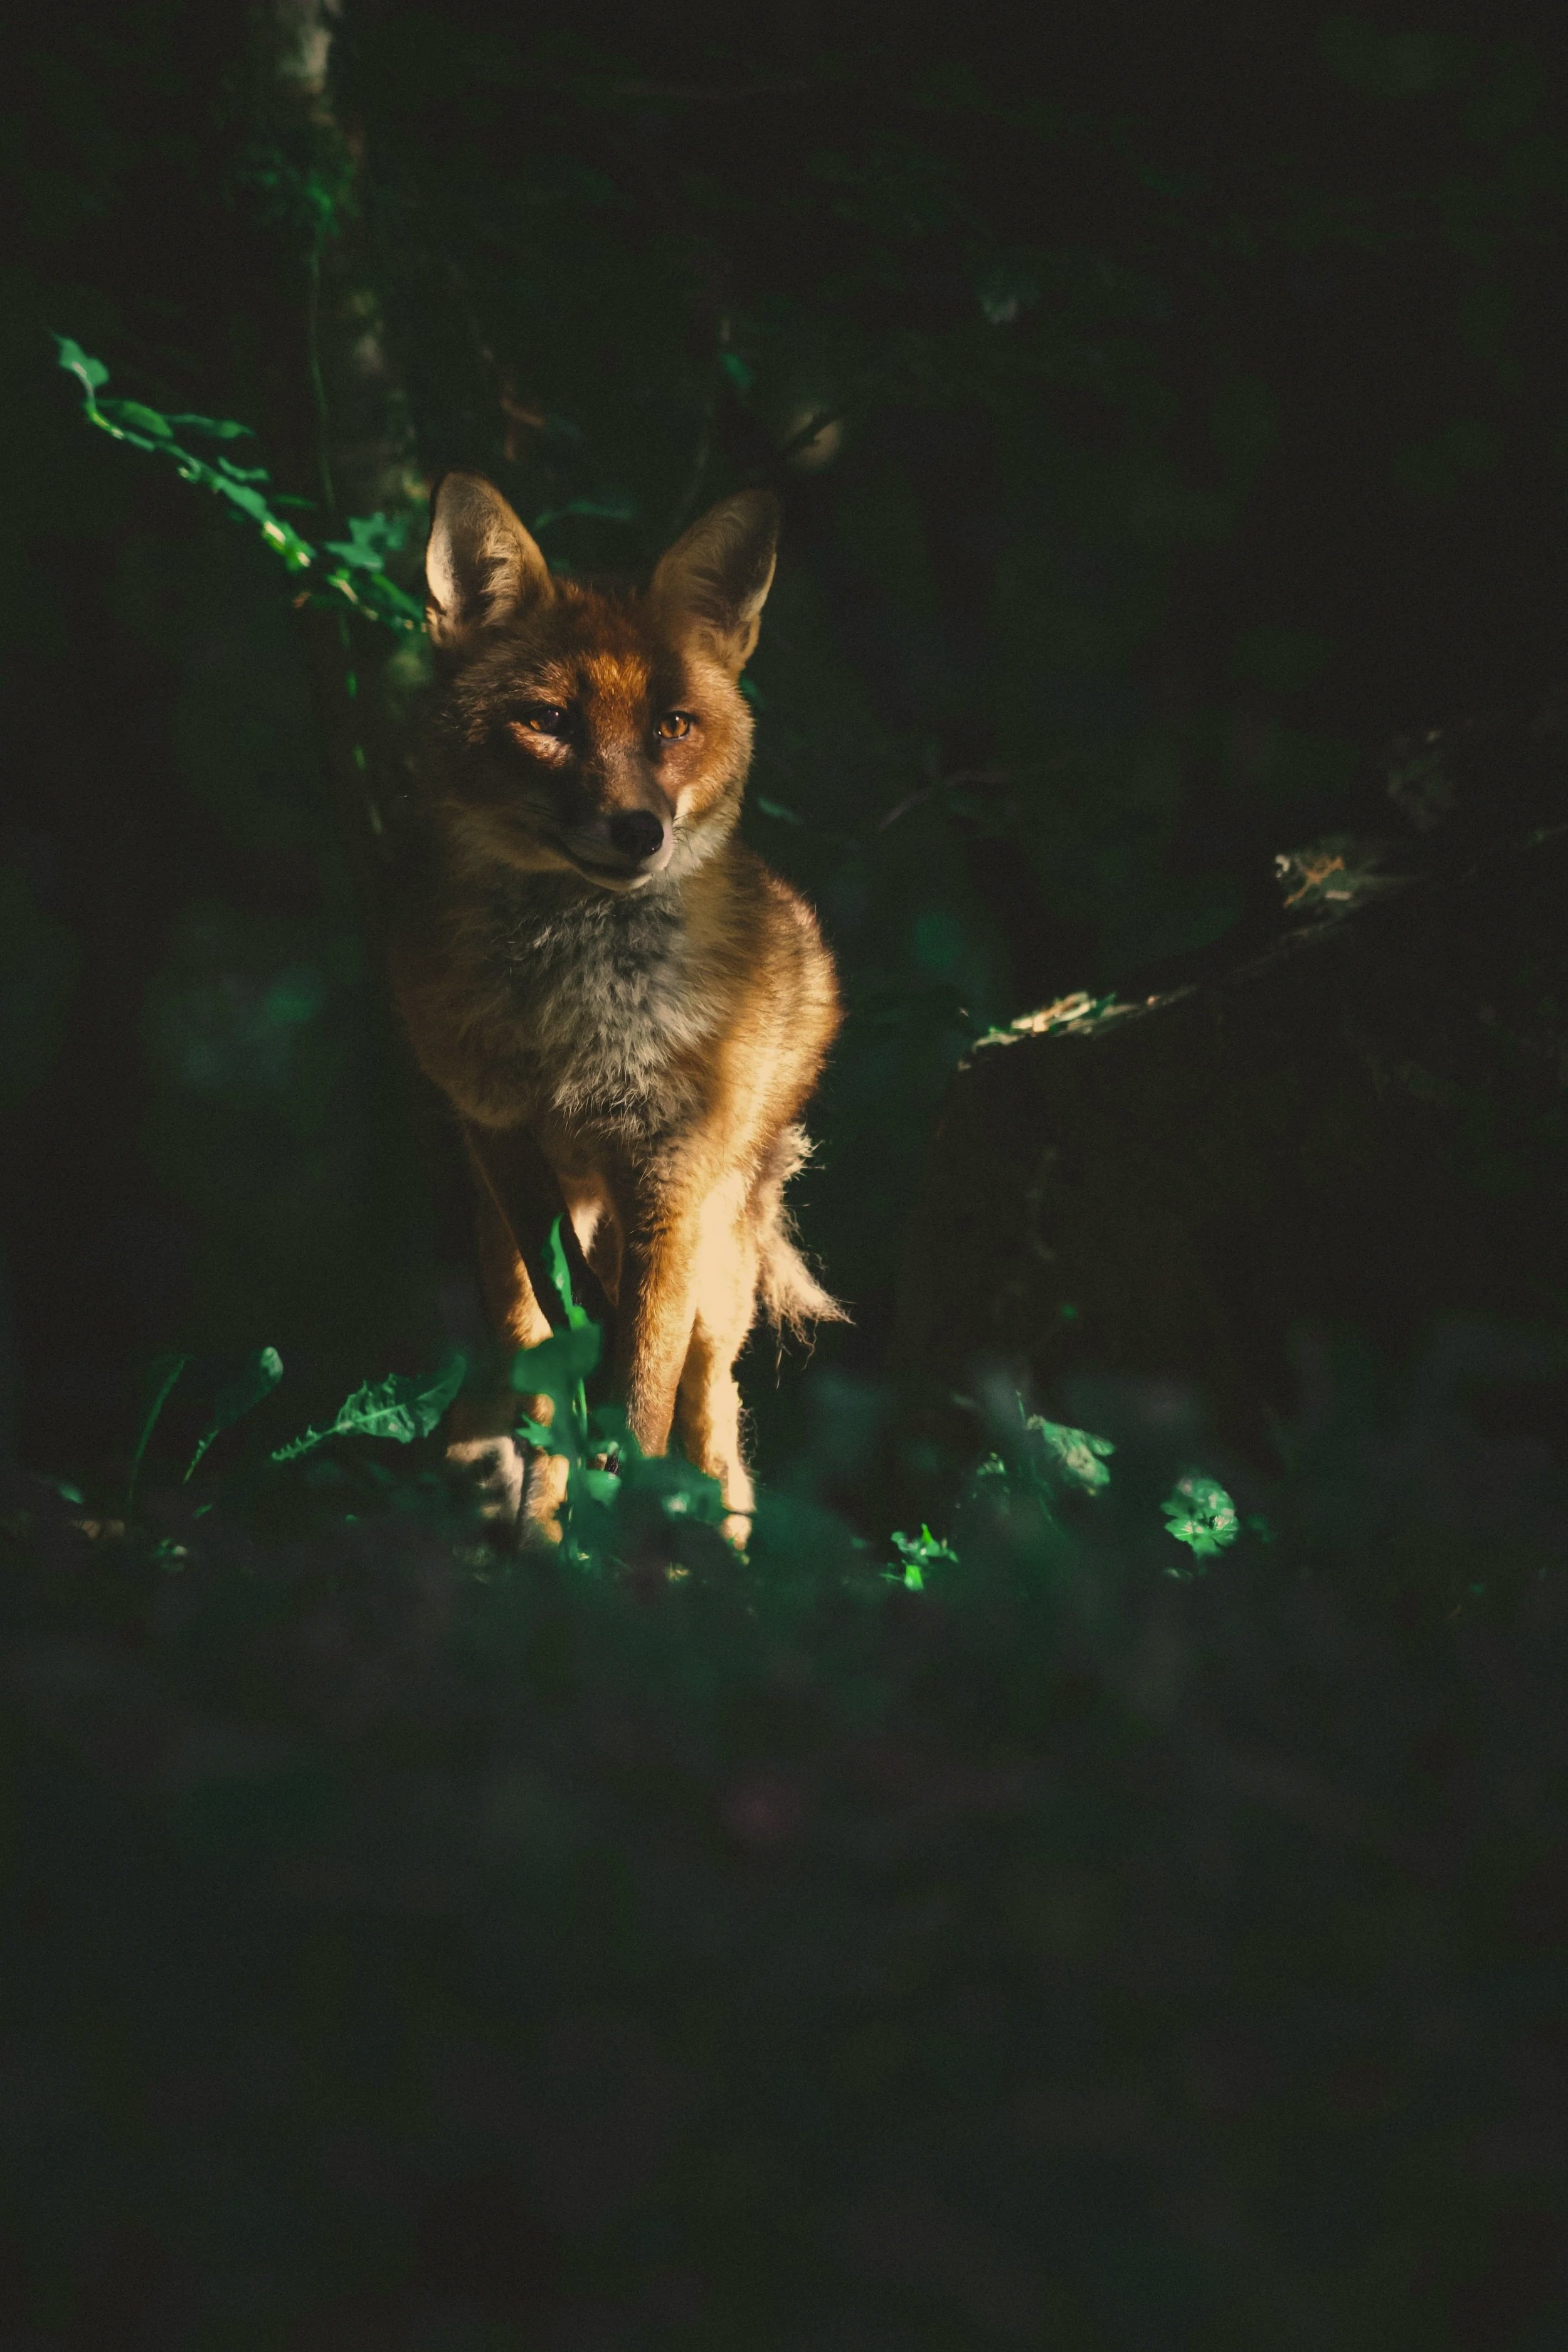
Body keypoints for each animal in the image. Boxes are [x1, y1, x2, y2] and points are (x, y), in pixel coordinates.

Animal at [388, 470, 843, 1541]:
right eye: (547, 721)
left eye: (673, 726)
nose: (639, 830)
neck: (580, 1030)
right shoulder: (500, 1127)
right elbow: (571, 1329)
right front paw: (561, 1517)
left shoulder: (670, 1168)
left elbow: (643, 1379)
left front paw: (623, 1517)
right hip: (517, 1222)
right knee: (532, 1346)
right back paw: (526, 1510)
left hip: (722, 1256)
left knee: (713, 1415)